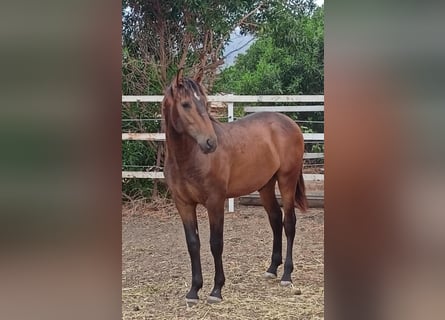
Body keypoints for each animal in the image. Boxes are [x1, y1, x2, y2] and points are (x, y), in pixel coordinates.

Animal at [161, 68, 306, 304]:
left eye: (205, 103)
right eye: (185, 104)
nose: (210, 142)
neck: (188, 158)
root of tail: (289, 122)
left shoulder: (215, 202)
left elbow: (215, 243)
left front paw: (216, 290)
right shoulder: (183, 204)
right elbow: (193, 244)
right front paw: (193, 291)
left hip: (287, 180)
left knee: (289, 223)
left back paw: (286, 275)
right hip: (266, 185)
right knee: (275, 219)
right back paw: (272, 269)